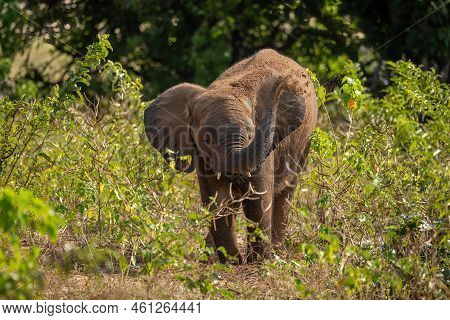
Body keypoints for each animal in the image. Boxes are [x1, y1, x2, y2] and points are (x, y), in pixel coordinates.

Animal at [144, 48, 316, 264]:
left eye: (250, 135)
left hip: (304, 143)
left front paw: (257, 262)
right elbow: (217, 198)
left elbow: (258, 200)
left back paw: (275, 253)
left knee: (286, 192)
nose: (281, 81)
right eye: (207, 139)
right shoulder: (201, 154)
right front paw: (232, 262)